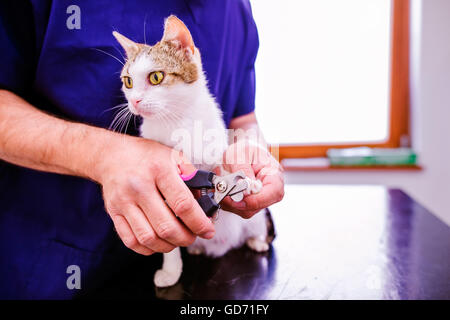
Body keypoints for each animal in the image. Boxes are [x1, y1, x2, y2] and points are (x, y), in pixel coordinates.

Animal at [114, 16, 270, 288]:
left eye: (156, 77)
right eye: (128, 82)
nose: (134, 101)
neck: (176, 123)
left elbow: (224, 167)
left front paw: (248, 181)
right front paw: (171, 270)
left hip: (257, 220)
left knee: (256, 226)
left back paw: (257, 240)